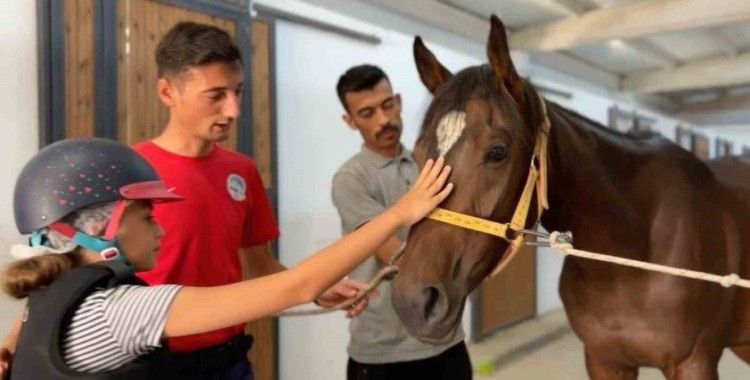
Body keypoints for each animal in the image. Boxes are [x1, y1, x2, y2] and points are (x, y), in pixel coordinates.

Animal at [390, 14, 750, 378]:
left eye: (497, 152)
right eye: (417, 153)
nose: (413, 302)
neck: (632, 256)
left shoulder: (695, 362)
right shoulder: (603, 359)